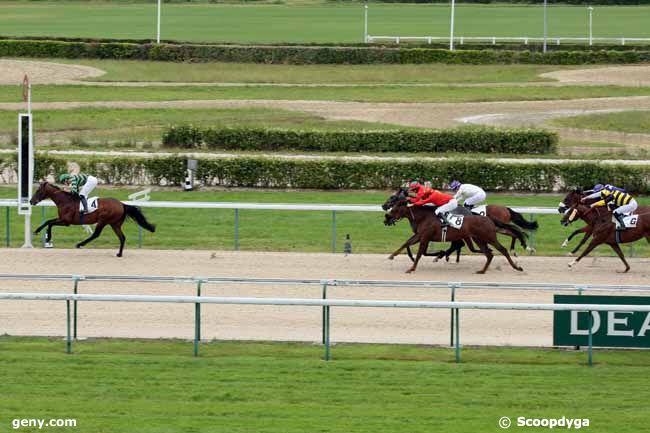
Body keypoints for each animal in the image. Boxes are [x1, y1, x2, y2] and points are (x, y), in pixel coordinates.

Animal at [384, 197, 520, 272]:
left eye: (395, 208)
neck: (424, 217)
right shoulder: (420, 235)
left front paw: (412, 268)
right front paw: (391, 256)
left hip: (489, 237)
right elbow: (407, 243)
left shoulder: (425, 237)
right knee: (488, 254)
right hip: (478, 239)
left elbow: (419, 254)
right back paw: (482, 270)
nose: (386, 219)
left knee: (502, 249)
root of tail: (488, 218)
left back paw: (517, 267)